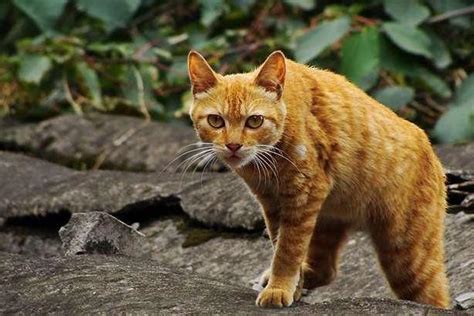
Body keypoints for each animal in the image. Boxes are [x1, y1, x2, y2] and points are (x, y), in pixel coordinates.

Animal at [187, 50, 450, 308]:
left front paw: (279, 288)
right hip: (326, 222)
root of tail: (433, 153)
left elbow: (287, 250)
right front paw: (289, 286)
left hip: (406, 257)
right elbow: (280, 244)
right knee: (327, 271)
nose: (233, 146)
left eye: (254, 121)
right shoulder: (273, 203)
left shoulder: (303, 194)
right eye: (215, 120)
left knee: (435, 299)